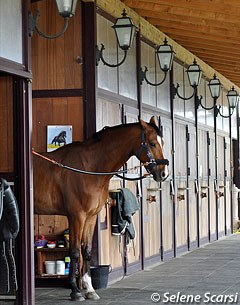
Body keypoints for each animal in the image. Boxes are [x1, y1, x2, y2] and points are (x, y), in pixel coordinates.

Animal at [33, 116, 169, 300]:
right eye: (153, 143)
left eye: (163, 142)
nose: (164, 173)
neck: (89, 167)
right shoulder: (76, 216)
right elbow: (75, 251)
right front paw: (75, 291)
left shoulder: (90, 217)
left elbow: (87, 250)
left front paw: (90, 289)